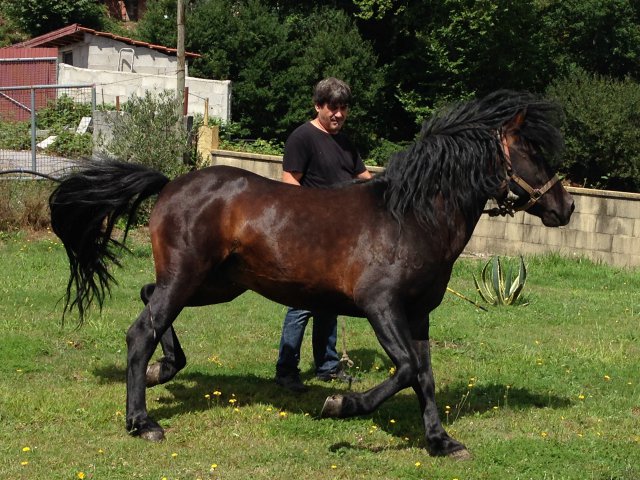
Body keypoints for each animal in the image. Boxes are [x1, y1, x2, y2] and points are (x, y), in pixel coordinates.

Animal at [47, 90, 572, 458]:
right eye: (531, 152)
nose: (564, 207)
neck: (410, 217)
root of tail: (171, 184)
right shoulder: (380, 307)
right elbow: (405, 370)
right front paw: (340, 405)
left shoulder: (418, 316)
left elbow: (424, 376)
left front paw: (441, 442)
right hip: (188, 279)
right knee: (141, 331)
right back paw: (142, 421)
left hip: (214, 285)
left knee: (147, 298)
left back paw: (164, 369)